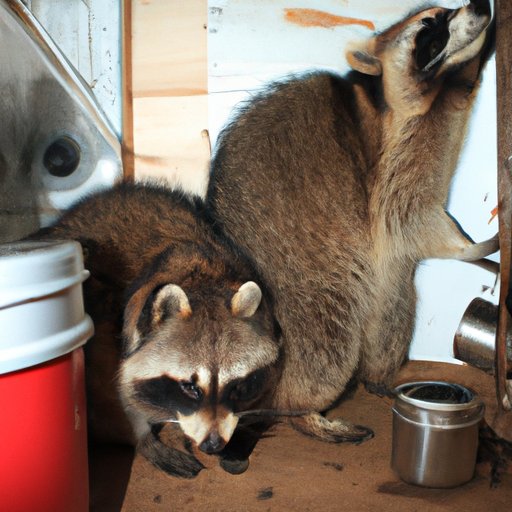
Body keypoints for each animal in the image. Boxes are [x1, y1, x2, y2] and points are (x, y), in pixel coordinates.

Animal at [35, 182, 282, 478]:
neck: (204, 277)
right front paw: (143, 437)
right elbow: (113, 386)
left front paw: (244, 431)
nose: (212, 444)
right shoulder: (117, 326)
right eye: (190, 387)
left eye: (236, 385)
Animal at [207, 0, 498, 441]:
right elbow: (410, 218)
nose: (481, 5)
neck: (438, 96)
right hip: (309, 291)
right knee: (327, 348)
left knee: (390, 323)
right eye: (430, 25)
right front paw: (474, 247)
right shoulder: (389, 169)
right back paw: (302, 411)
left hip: (391, 293)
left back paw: (376, 376)